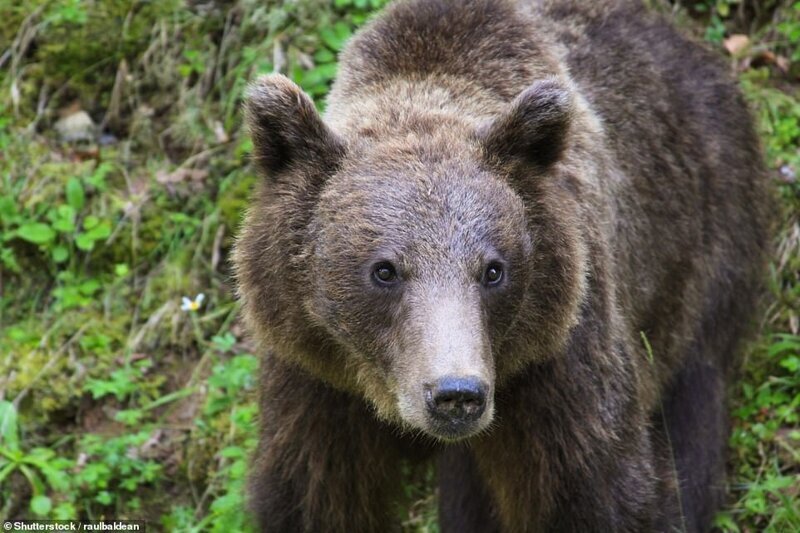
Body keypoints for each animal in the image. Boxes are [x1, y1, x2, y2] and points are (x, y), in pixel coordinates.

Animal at [234, 0, 772, 528]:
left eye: (493, 269)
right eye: (384, 269)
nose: (456, 394)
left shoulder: (559, 358)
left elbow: (599, 489)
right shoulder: (316, 373)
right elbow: (317, 494)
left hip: (702, 248)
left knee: (691, 414)